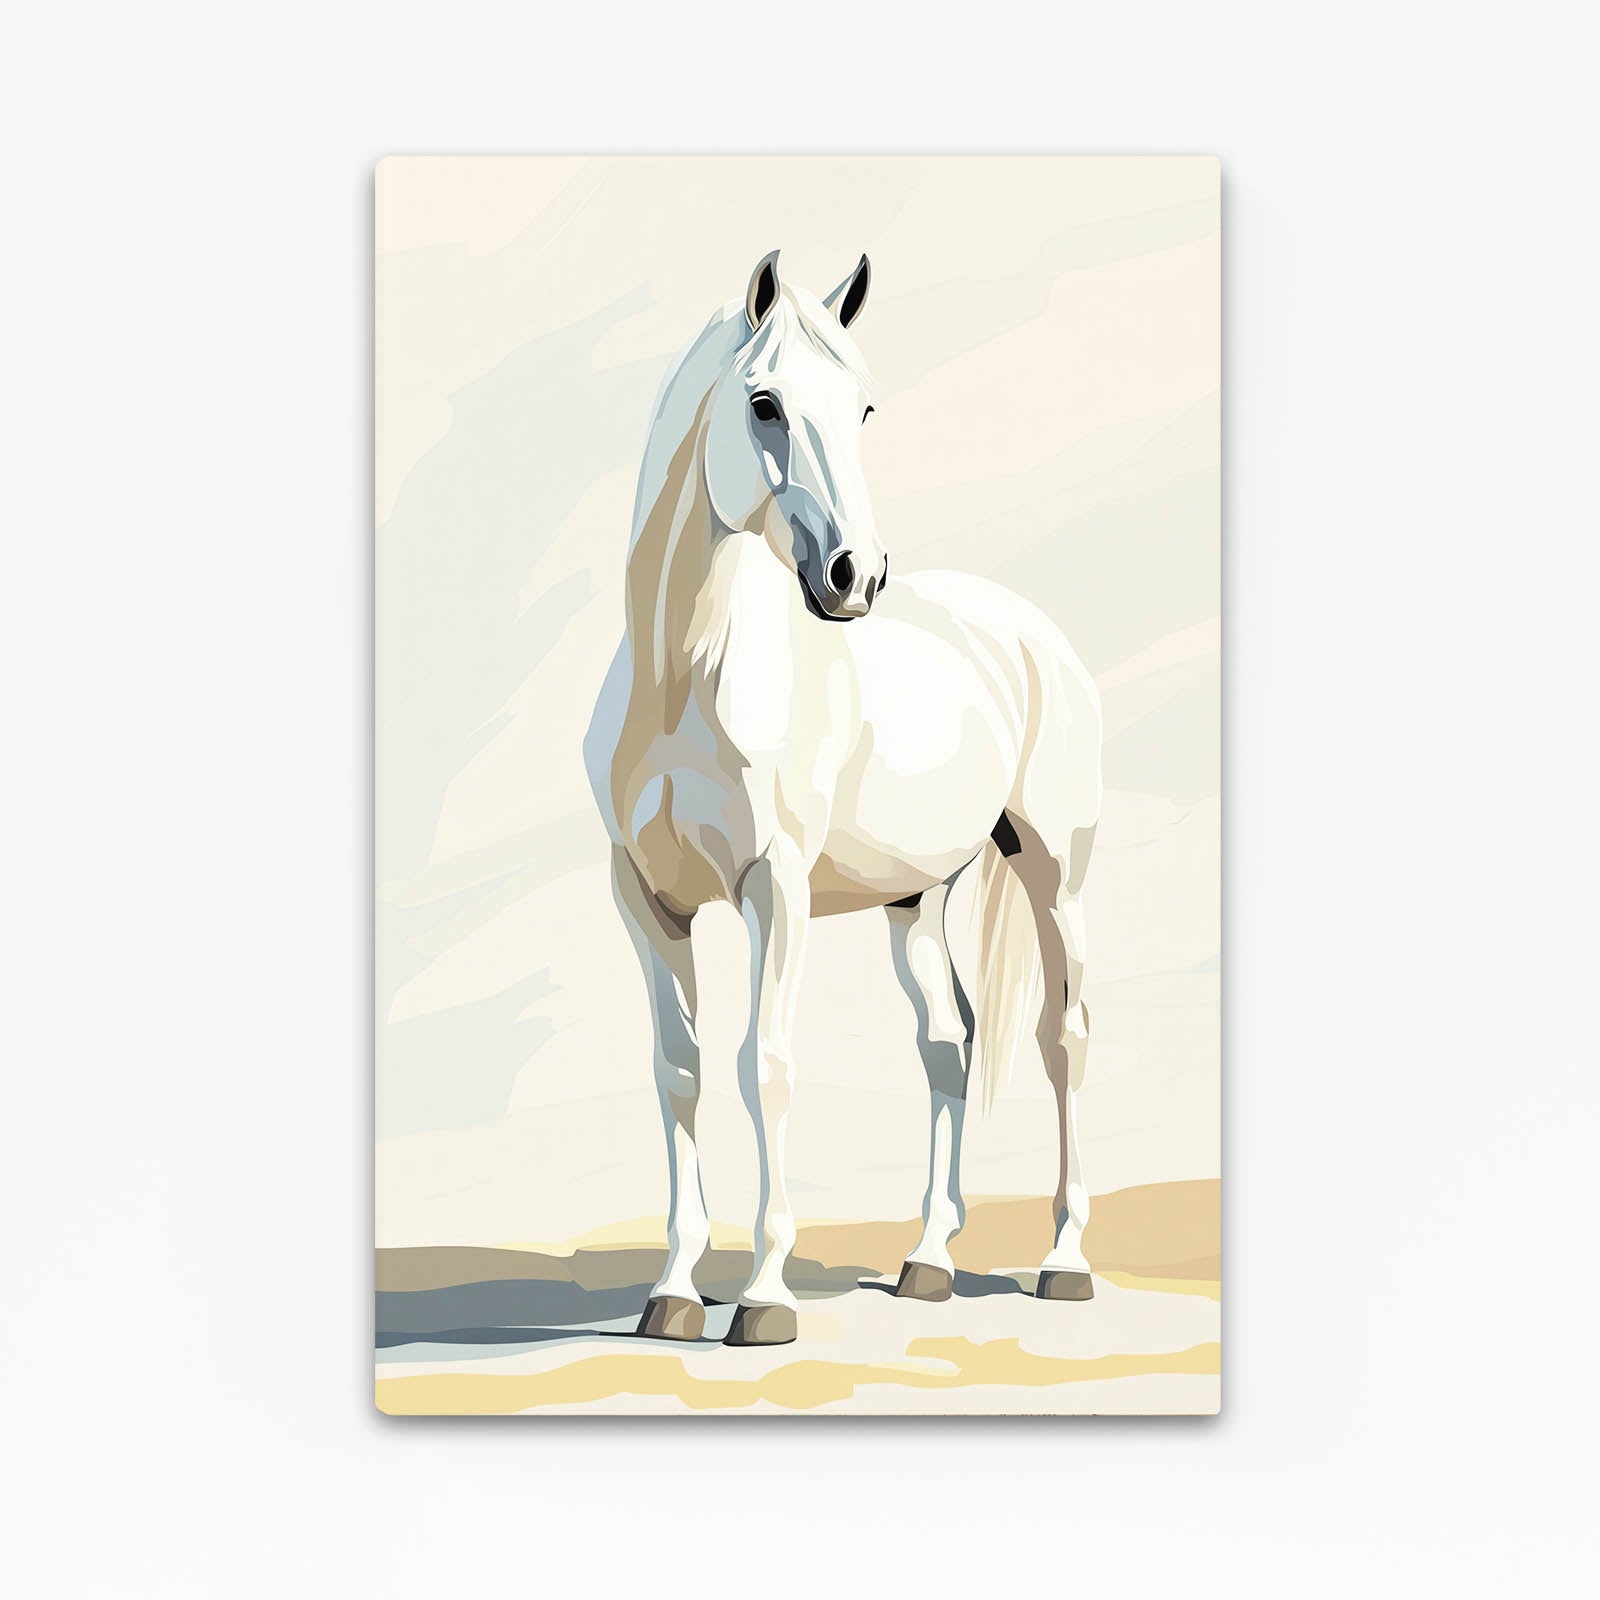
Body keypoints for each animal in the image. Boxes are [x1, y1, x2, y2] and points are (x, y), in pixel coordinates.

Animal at [583, 251, 1102, 1346]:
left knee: (1064, 1037)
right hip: (918, 899)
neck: (684, 677)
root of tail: (1025, 625)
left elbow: (763, 1064)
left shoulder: (771, 890)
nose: (855, 577)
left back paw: (1065, 1263)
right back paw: (927, 1263)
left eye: (862, 407)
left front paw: (765, 1298)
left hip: (1057, 876)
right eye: (765, 403)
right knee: (947, 1046)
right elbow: (679, 1070)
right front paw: (673, 1291)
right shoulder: (645, 902)